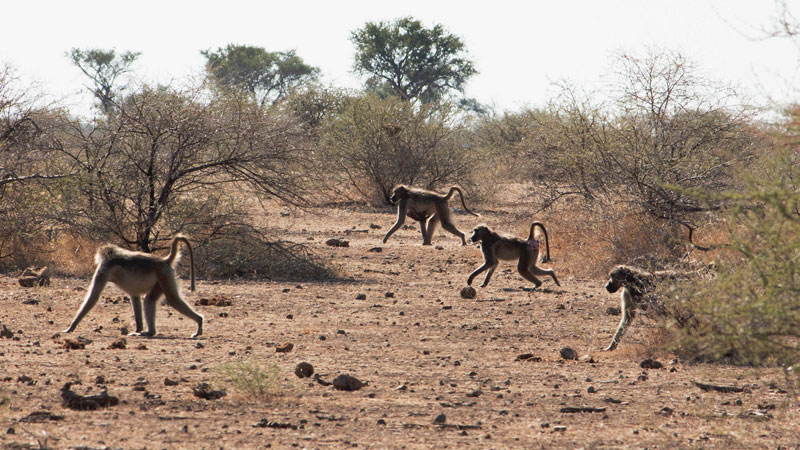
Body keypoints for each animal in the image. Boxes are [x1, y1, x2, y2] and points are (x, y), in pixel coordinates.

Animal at [63, 235, 203, 338]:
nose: (96, 259)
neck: (113, 255)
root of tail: (164, 261)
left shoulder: (103, 269)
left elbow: (93, 297)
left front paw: (71, 327)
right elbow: (135, 297)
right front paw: (138, 328)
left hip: (164, 274)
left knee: (172, 299)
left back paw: (199, 321)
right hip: (161, 278)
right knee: (149, 300)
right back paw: (150, 332)